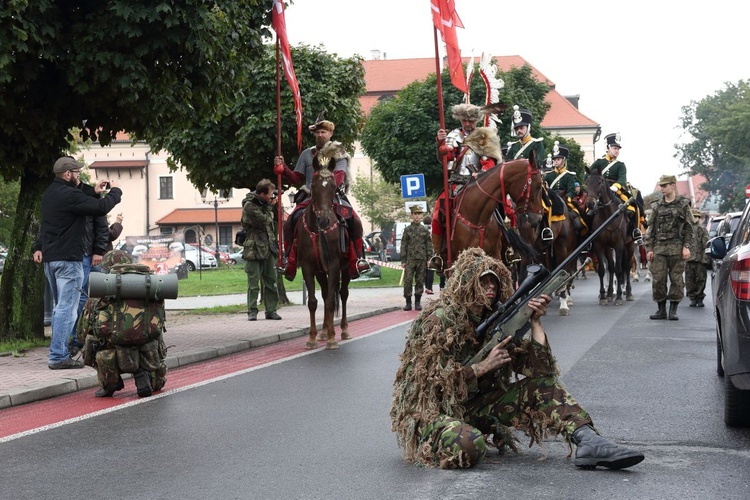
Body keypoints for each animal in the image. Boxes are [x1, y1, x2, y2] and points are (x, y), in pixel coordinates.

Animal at [296, 163, 352, 348]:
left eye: (333, 187)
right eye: (313, 186)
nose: (324, 221)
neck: (317, 231)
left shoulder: (334, 266)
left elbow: (330, 301)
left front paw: (332, 339)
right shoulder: (308, 267)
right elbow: (313, 302)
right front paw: (312, 338)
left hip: (346, 268)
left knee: (342, 294)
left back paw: (343, 330)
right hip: (321, 272)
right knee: (327, 292)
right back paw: (324, 331)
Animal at [584, 172, 636, 304]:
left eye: (599, 182)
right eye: (587, 183)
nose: (590, 204)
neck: (607, 216)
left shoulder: (619, 245)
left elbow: (619, 269)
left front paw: (618, 296)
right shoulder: (600, 245)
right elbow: (603, 270)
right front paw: (603, 295)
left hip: (629, 245)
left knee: (626, 267)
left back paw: (628, 293)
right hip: (609, 248)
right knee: (611, 267)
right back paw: (609, 293)